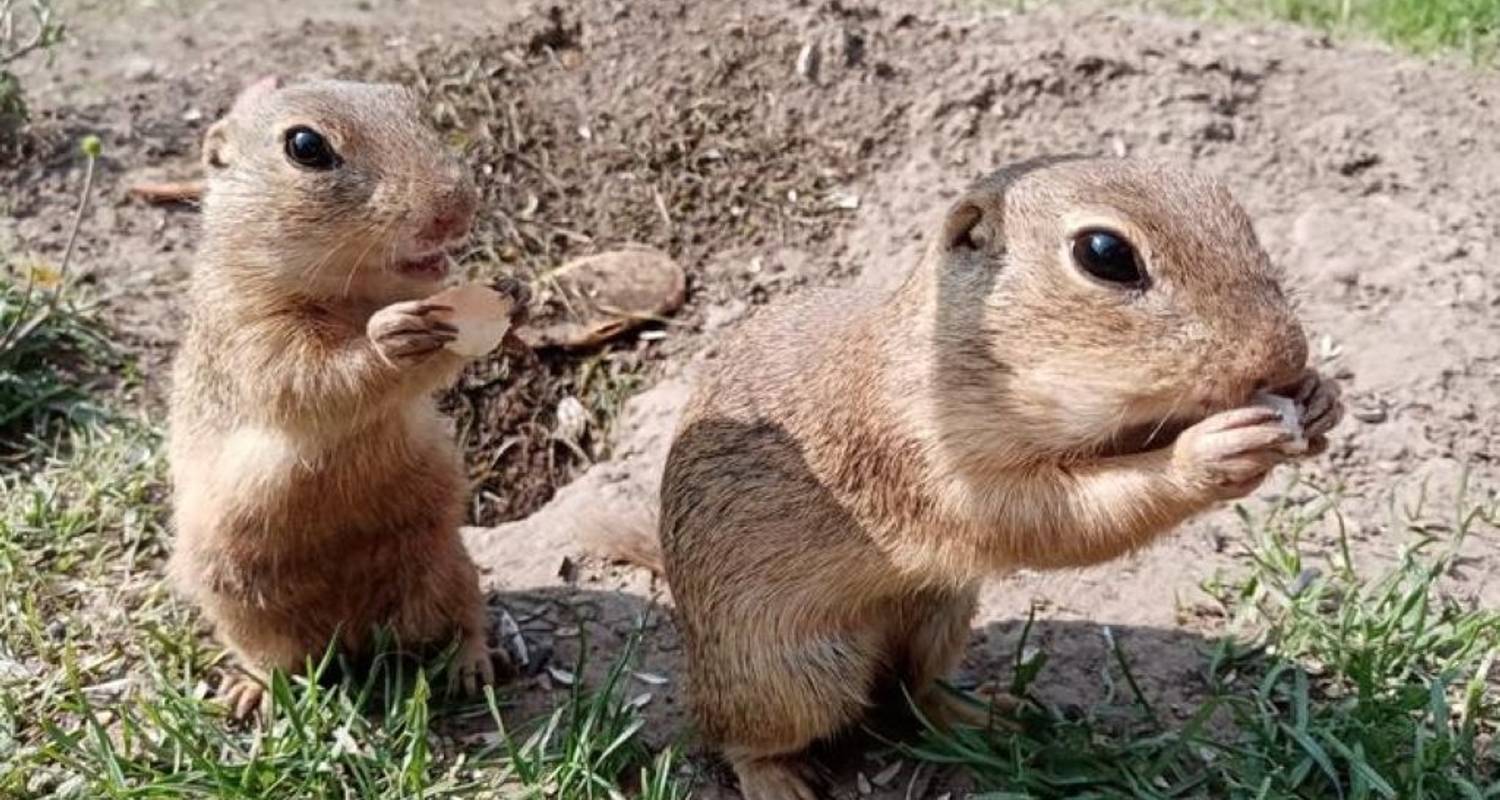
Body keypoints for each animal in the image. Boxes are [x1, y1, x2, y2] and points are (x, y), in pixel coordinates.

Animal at [165, 79, 522, 717]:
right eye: (305, 145)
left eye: (411, 106)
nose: (457, 206)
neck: (353, 296)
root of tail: (353, 629)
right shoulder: (250, 334)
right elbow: (308, 380)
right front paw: (392, 338)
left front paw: (513, 293)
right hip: (239, 601)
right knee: (274, 658)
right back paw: (251, 692)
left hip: (447, 563)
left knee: (466, 617)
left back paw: (473, 664)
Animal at [657, 156, 1350, 798]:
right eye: (1105, 254)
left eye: (1231, 207)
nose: (1286, 355)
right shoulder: (931, 458)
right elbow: (1046, 518)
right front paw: (1209, 451)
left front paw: (1319, 399)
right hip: (794, 675)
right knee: (739, 736)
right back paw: (778, 778)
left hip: (939, 618)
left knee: (913, 694)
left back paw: (989, 716)